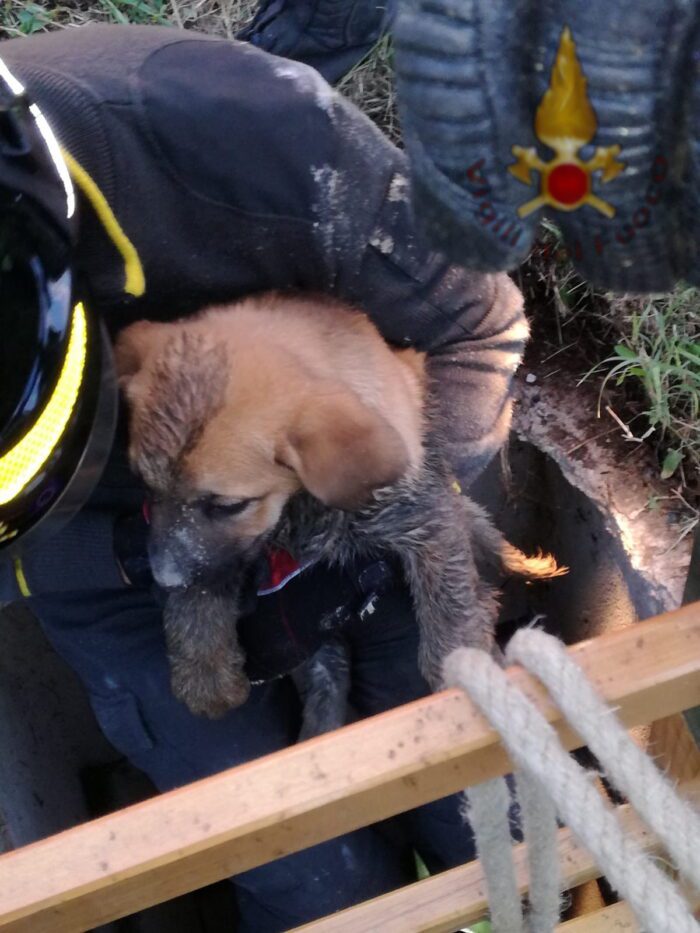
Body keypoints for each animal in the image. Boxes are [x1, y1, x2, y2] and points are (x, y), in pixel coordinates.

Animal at [115, 292, 564, 720]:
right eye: (146, 487)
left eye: (227, 505)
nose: (162, 578)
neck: (302, 510)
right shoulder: (233, 550)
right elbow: (206, 582)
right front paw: (204, 672)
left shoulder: (427, 517)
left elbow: (449, 601)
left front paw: (459, 666)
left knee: (482, 531)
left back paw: (529, 566)